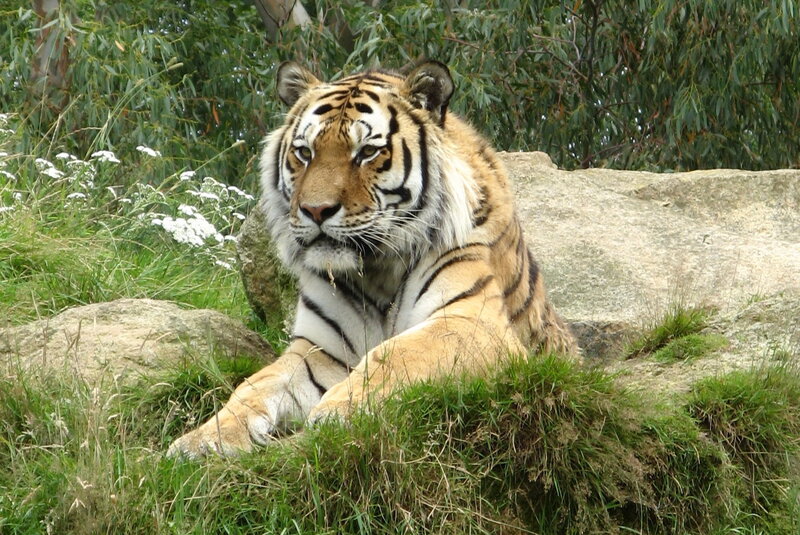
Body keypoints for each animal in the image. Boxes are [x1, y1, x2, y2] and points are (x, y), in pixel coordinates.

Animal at [168, 60, 579, 458]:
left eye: (366, 152)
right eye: (305, 152)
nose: (315, 210)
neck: (377, 269)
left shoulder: (471, 323)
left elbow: (397, 355)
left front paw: (337, 410)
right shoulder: (320, 349)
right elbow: (255, 384)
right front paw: (204, 439)